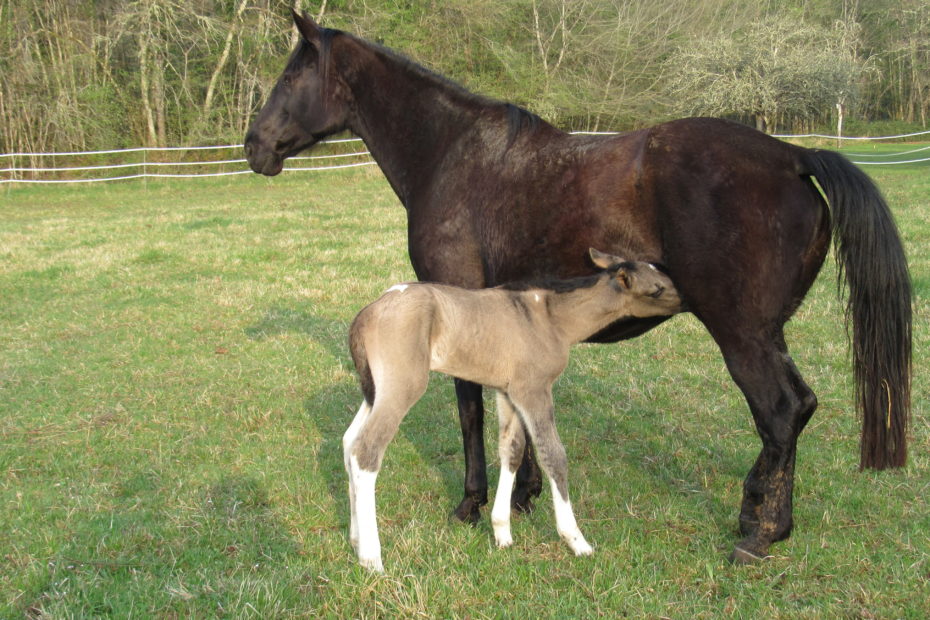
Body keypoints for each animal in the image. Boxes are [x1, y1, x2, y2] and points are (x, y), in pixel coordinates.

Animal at [243, 10, 908, 560]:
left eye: (290, 77)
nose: (254, 147)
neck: (452, 153)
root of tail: (794, 156)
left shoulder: (456, 305)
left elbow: (469, 409)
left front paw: (473, 504)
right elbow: (516, 426)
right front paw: (523, 498)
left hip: (742, 335)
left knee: (780, 412)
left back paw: (759, 533)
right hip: (770, 333)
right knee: (800, 409)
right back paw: (766, 517)